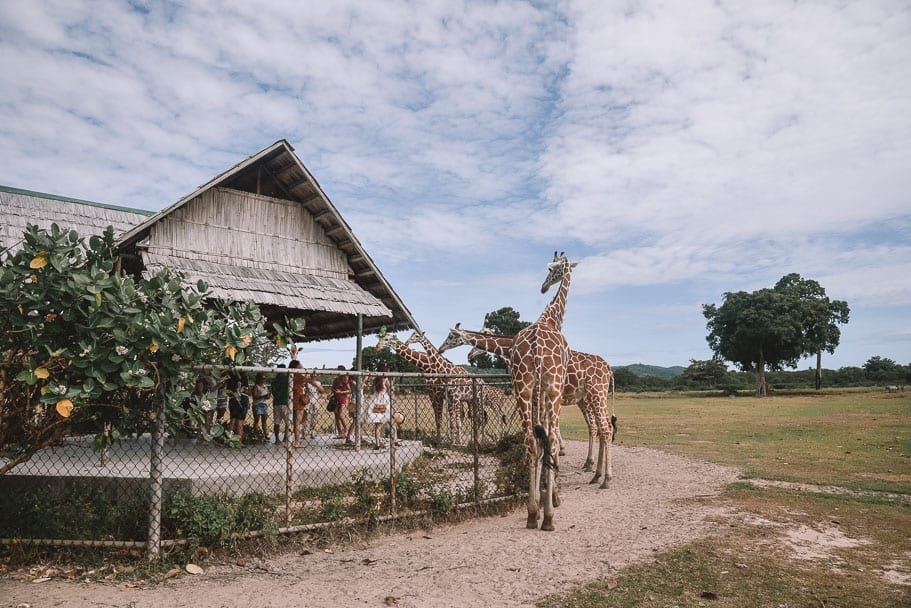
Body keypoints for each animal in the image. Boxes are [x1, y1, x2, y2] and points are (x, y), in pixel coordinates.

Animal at [438, 326, 616, 486]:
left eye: (451, 336)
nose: (441, 348)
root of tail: (609, 369)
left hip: (595, 393)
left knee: (603, 428)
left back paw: (604, 477)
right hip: (588, 397)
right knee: (600, 427)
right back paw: (593, 471)